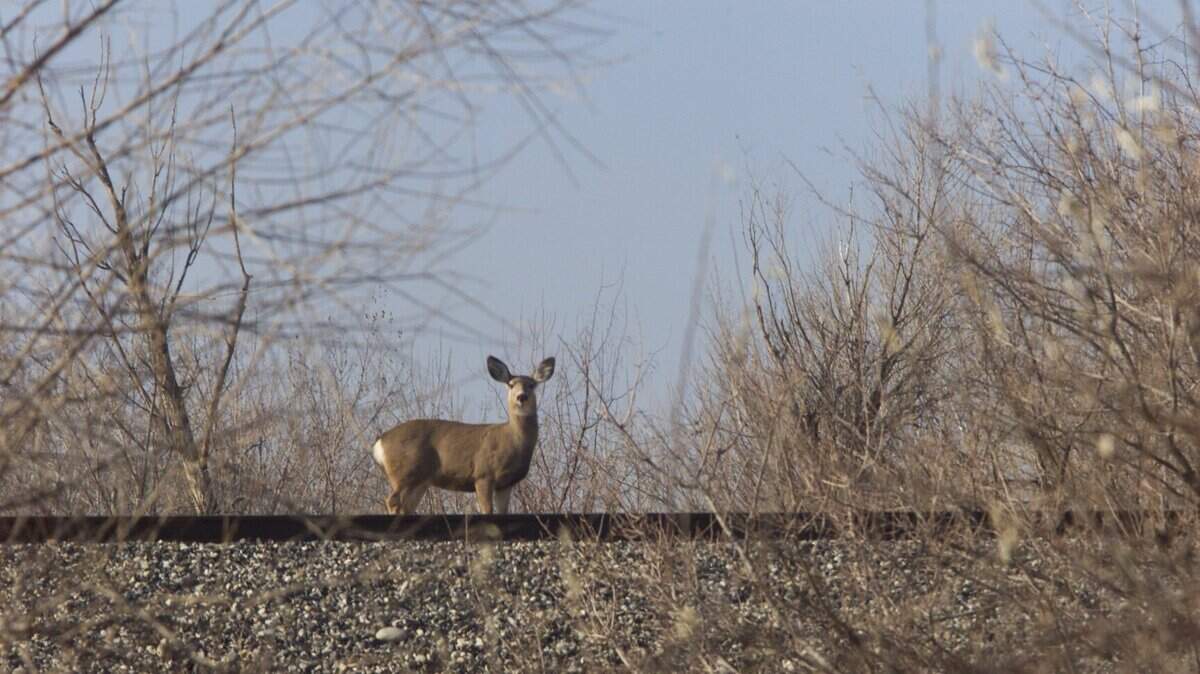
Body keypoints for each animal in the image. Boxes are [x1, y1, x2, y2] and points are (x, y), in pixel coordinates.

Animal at [371, 355, 555, 514]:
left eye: (532, 385)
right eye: (510, 384)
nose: (521, 396)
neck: (513, 440)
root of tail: (379, 443)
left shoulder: (506, 483)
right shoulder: (483, 473)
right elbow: (487, 510)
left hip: (420, 480)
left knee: (406, 506)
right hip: (404, 471)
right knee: (392, 500)